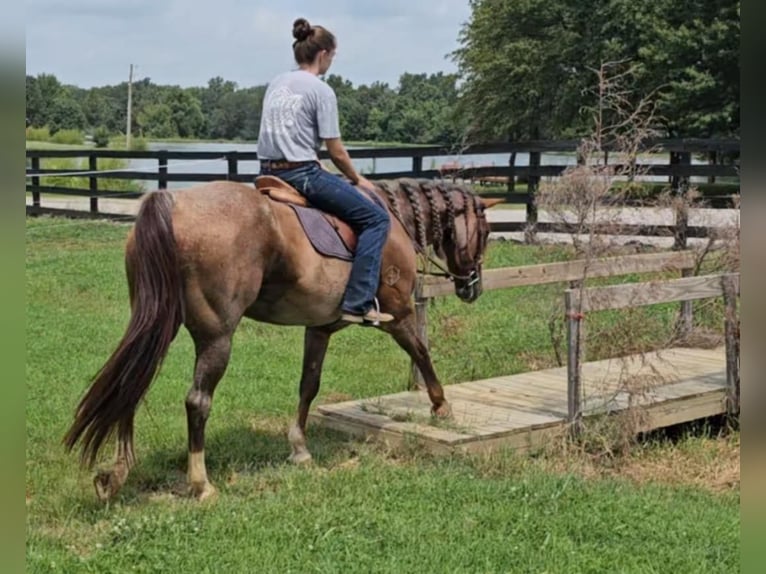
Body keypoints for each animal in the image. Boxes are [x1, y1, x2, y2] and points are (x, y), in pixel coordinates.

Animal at [63, 175, 502, 501]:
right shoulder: (400, 315)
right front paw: (441, 406)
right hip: (216, 337)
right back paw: (201, 483)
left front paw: (299, 448)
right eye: (485, 232)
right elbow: (422, 353)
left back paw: (116, 474)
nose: (472, 287)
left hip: (157, 324)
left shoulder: (319, 328)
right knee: (196, 401)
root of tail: (173, 203)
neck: (392, 219)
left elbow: (309, 385)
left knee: (130, 386)